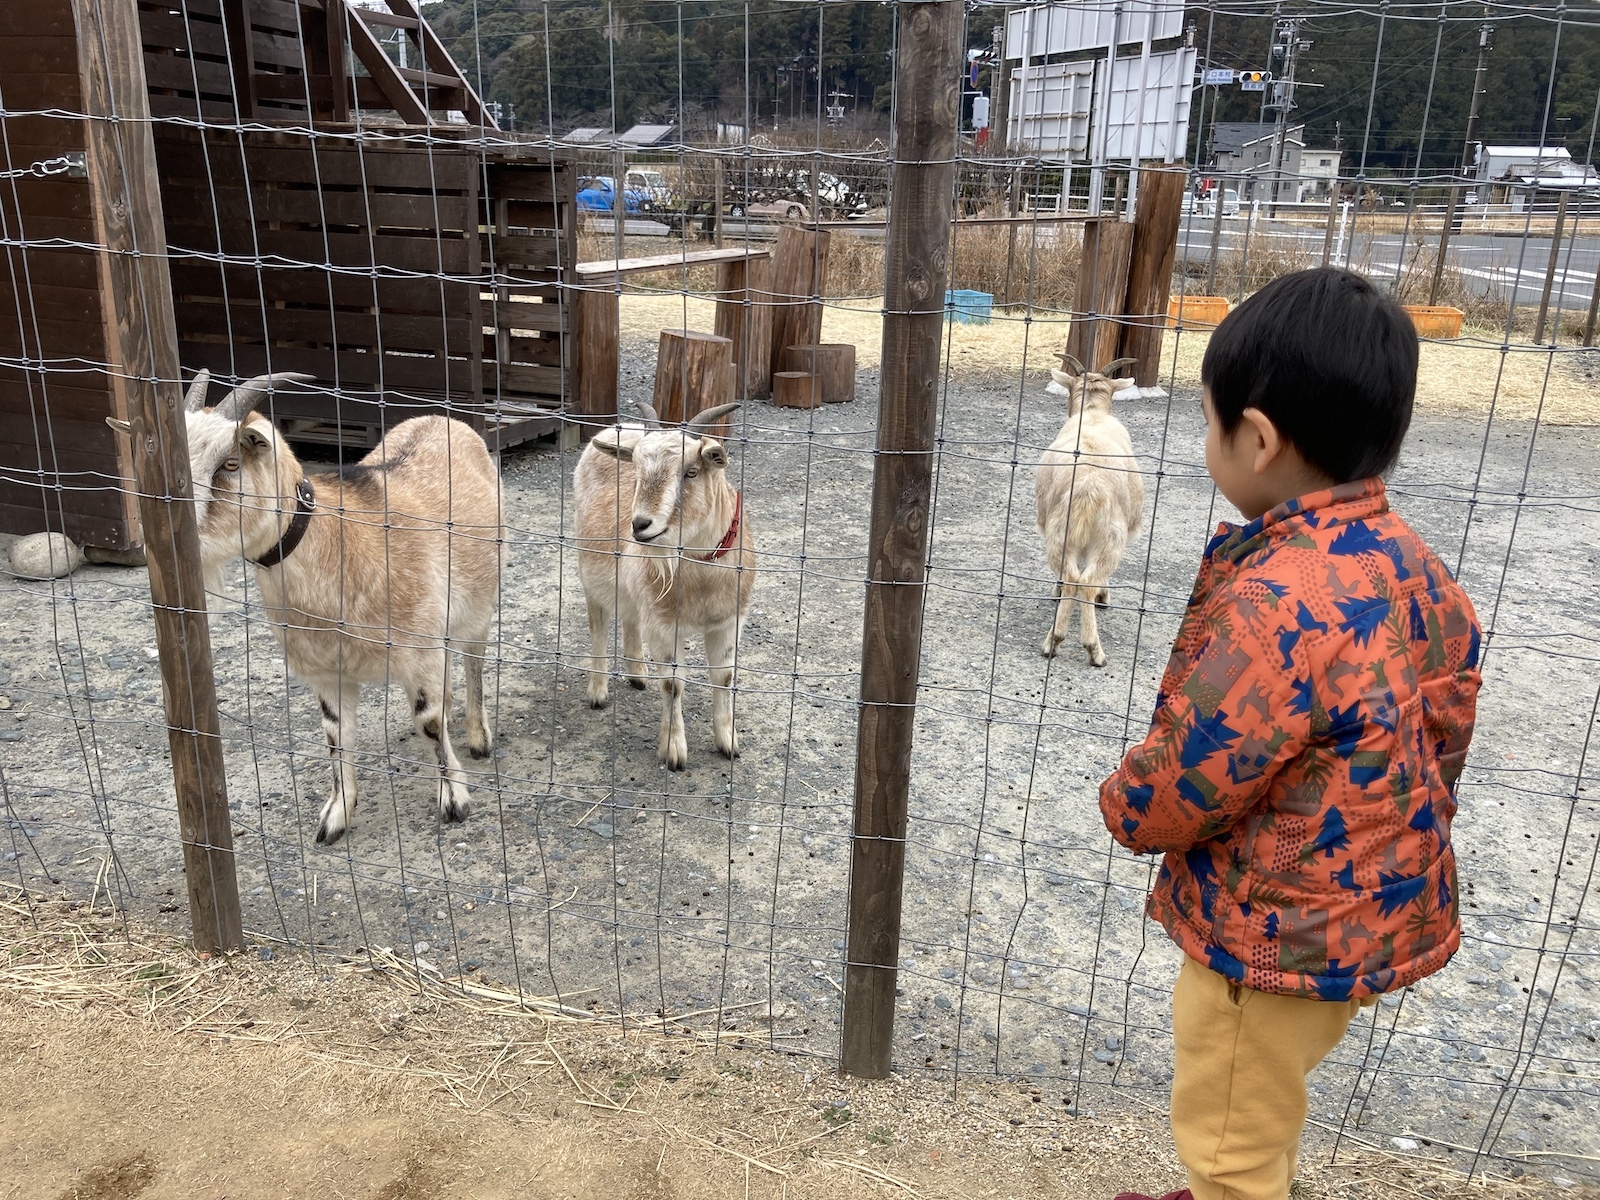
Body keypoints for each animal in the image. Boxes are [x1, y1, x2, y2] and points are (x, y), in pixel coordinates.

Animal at [112, 371, 502, 851]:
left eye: (230, 464)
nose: (167, 537)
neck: (341, 544)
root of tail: (443, 419)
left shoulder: (420, 648)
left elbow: (429, 721)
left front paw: (454, 800)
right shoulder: (329, 670)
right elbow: (336, 734)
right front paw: (336, 816)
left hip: (479, 601)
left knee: (474, 658)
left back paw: (478, 737)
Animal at [1036, 352, 1152, 668]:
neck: (1091, 414)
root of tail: (1088, 486)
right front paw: (1104, 595)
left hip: (1058, 530)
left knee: (1072, 577)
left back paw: (1053, 641)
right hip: (1110, 534)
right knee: (1086, 581)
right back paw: (1092, 649)